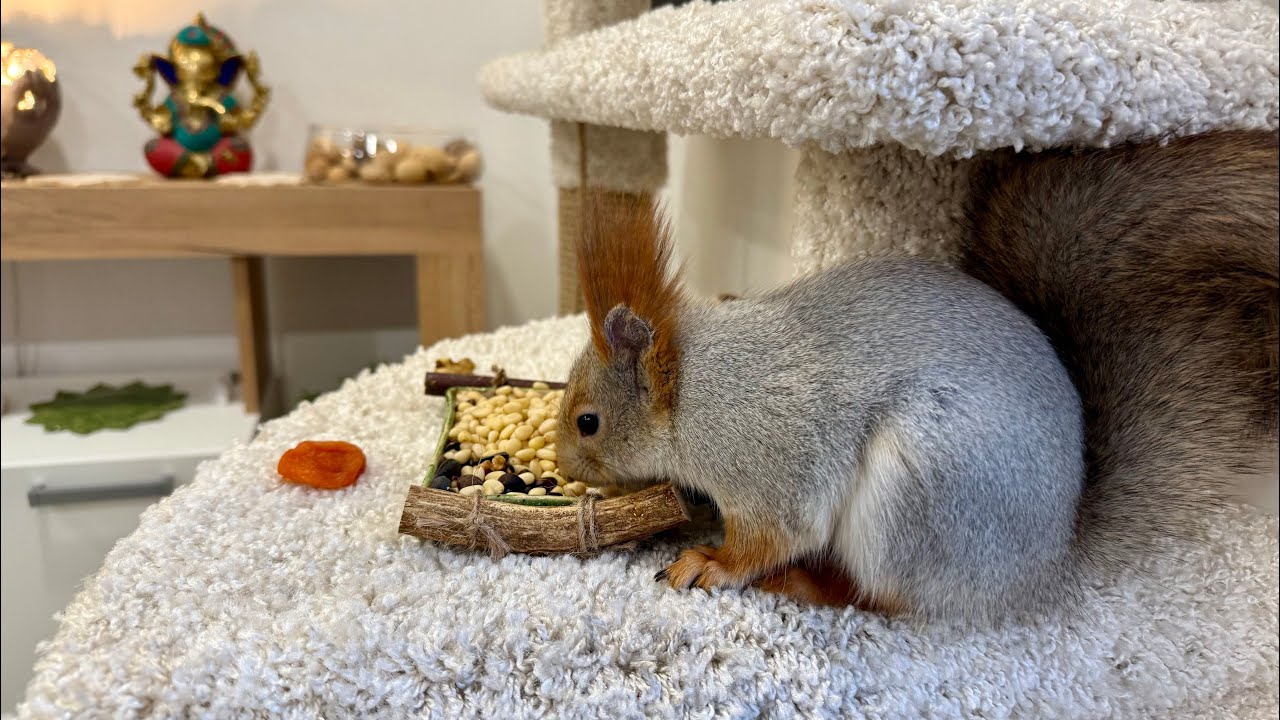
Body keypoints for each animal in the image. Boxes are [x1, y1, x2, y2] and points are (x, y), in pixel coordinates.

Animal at [556, 129, 1278, 623]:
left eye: (588, 422)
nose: (565, 467)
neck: (693, 389)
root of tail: (1045, 563)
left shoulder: (766, 459)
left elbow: (774, 534)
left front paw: (708, 563)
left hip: (915, 496)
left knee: (888, 600)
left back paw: (808, 585)